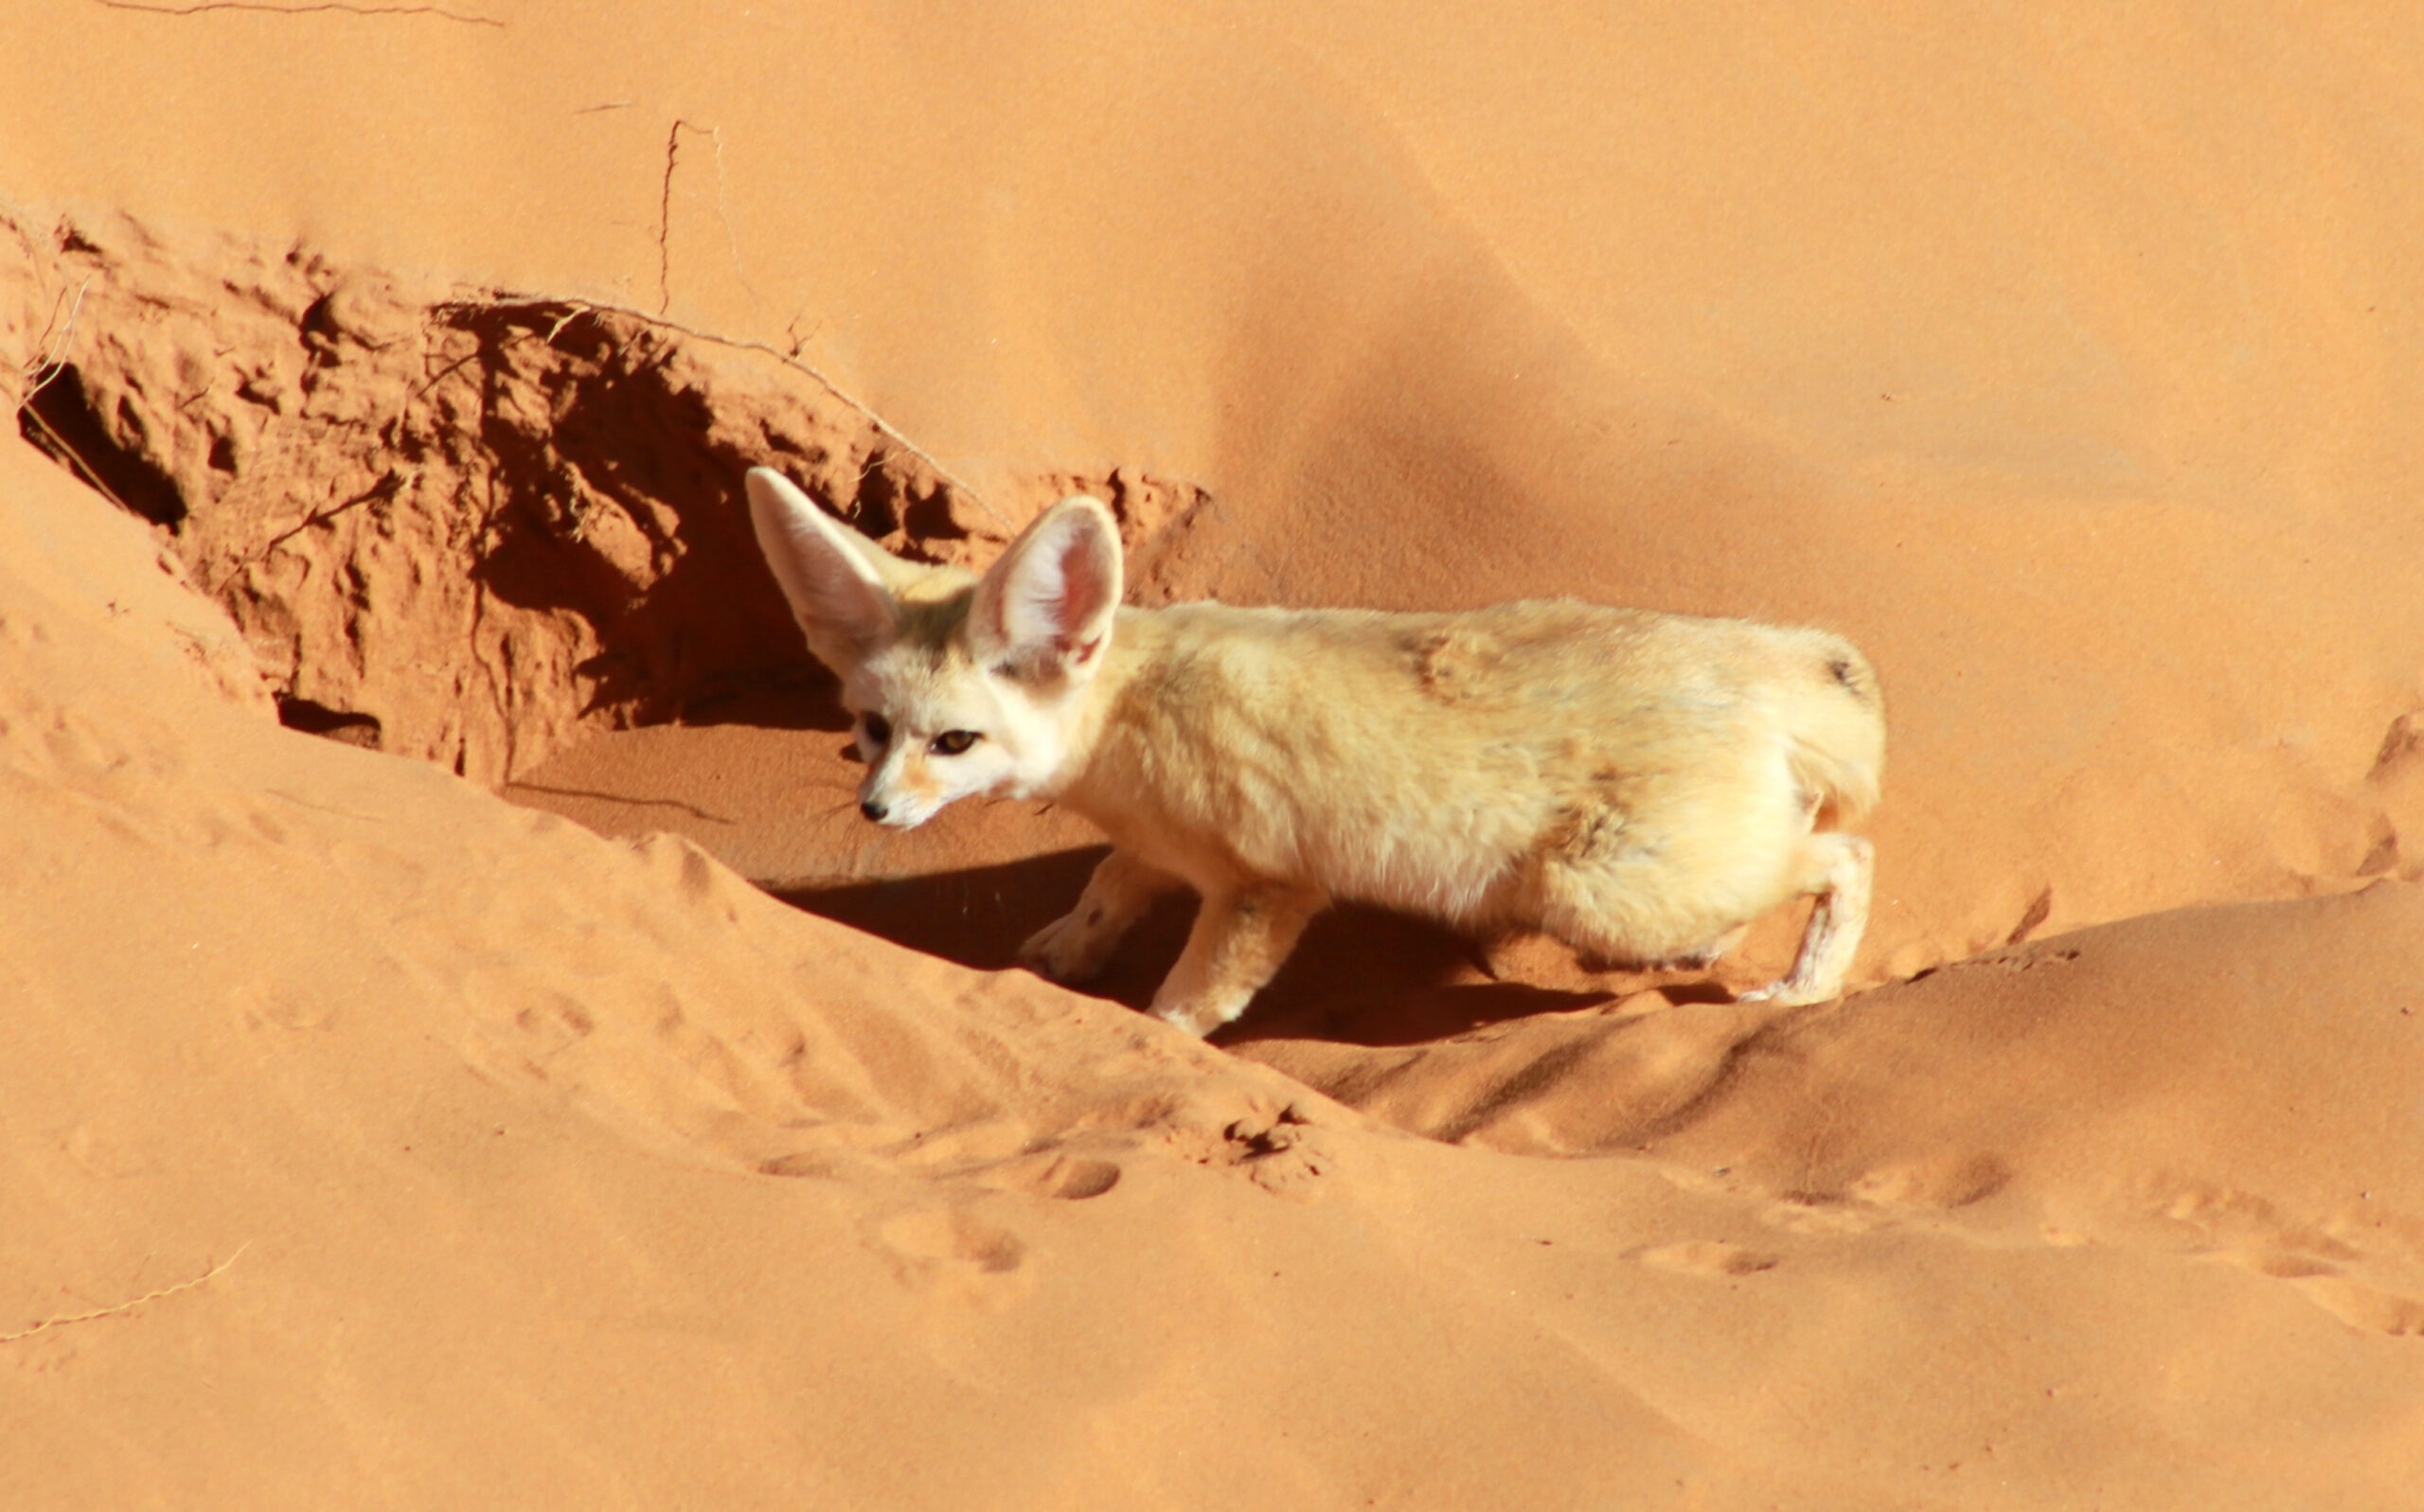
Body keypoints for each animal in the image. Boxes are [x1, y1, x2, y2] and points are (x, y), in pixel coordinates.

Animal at [746, 470, 1880, 1037]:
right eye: (871, 731)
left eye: (954, 741)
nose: (875, 812)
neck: (1130, 714)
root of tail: (1780, 658)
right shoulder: (1157, 849)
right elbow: (1110, 885)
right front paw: (1063, 954)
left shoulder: (1264, 889)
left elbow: (1191, 1003)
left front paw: (1149, 1044)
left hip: (1596, 893)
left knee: (1844, 859)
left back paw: (1802, 990)